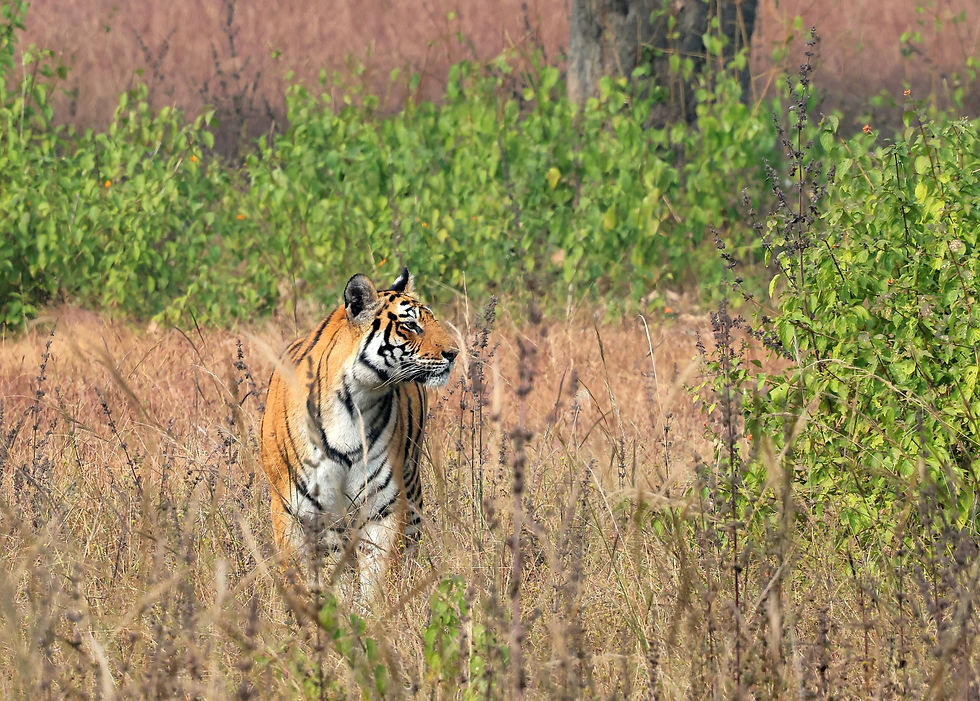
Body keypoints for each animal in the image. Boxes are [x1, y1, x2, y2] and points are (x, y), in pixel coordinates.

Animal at [259, 268, 459, 602]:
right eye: (410, 325)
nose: (454, 353)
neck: (354, 403)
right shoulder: (294, 512)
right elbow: (302, 580)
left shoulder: (383, 507)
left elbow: (376, 581)